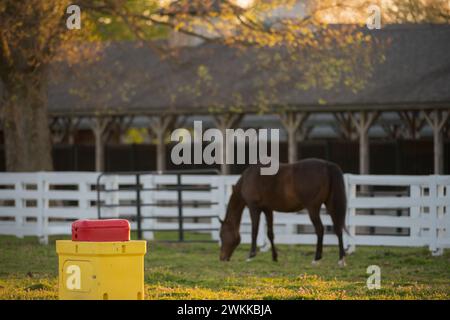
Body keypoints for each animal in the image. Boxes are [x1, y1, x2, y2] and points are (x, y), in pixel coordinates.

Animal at [218, 159, 348, 266]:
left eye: (222, 235)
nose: (222, 258)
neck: (248, 178)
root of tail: (327, 165)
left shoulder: (253, 208)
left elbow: (254, 231)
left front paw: (251, 256)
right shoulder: (267, 209)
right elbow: (270, 234)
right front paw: (274, 257)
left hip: (313, 208)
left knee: (320, 229)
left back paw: (316, 259)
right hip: (330, 205)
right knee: (338, 228)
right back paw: (341, 259)